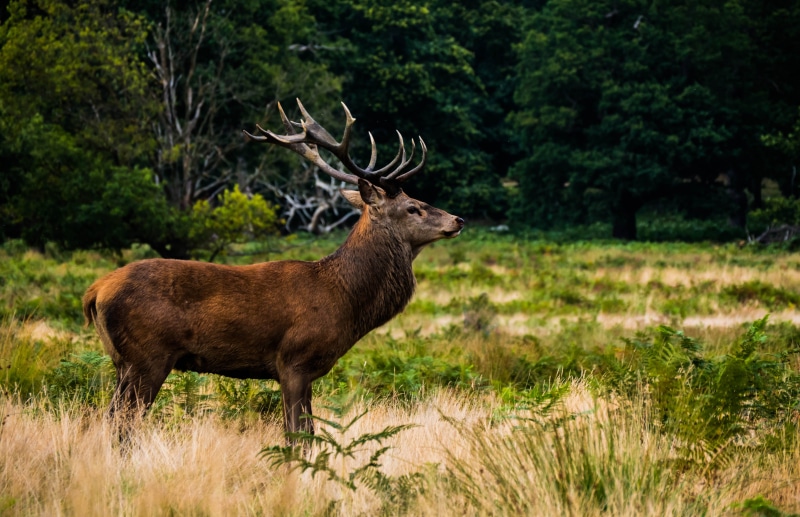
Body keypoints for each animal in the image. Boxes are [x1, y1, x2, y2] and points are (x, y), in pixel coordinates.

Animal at [82, 99, 464, 438]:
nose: (458, 219)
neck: (344, 299)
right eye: (413, 207)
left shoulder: (306, 371)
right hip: (148, 356)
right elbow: (297, 435)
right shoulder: (293, 360)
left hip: (122, 362)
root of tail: (95, 291)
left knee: (109, 419)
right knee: (123, 425)